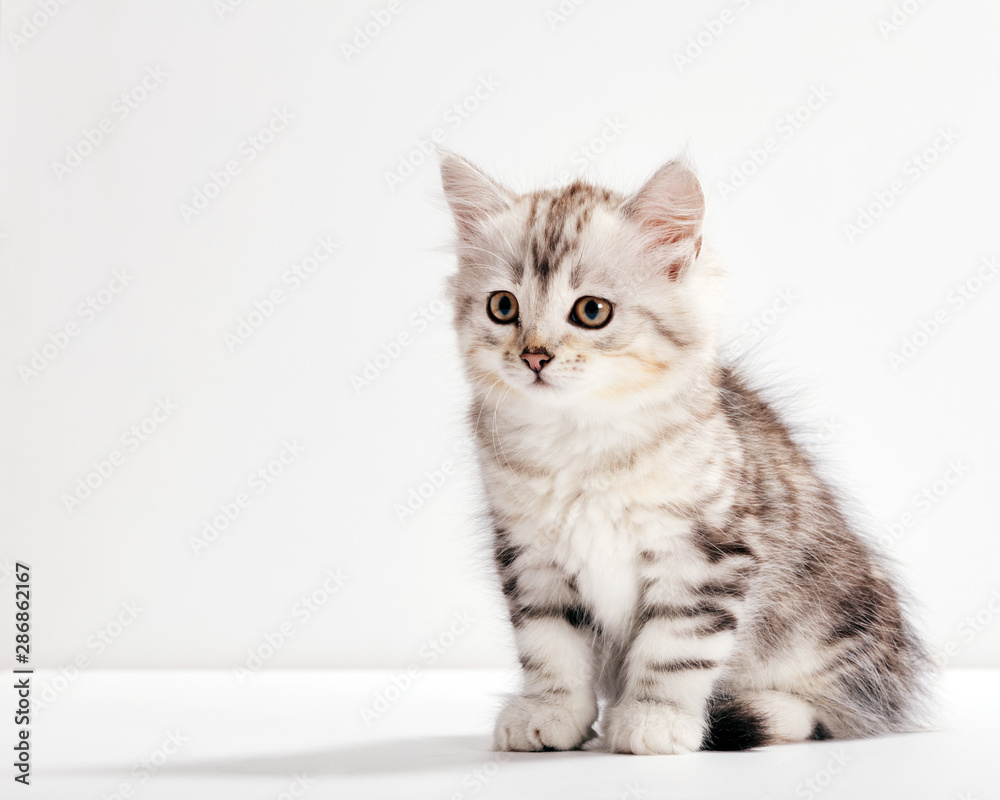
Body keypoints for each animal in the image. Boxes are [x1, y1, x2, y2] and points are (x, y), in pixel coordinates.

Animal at [438, 153, 928, 752]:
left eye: (591, 311)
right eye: (502, 306)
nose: (534, 356)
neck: (581, 442)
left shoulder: (705, 552)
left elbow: (674, 648)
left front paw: (654, 719)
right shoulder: (532, 556)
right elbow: (550, 644)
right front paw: (549, 711)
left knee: (826, 715)